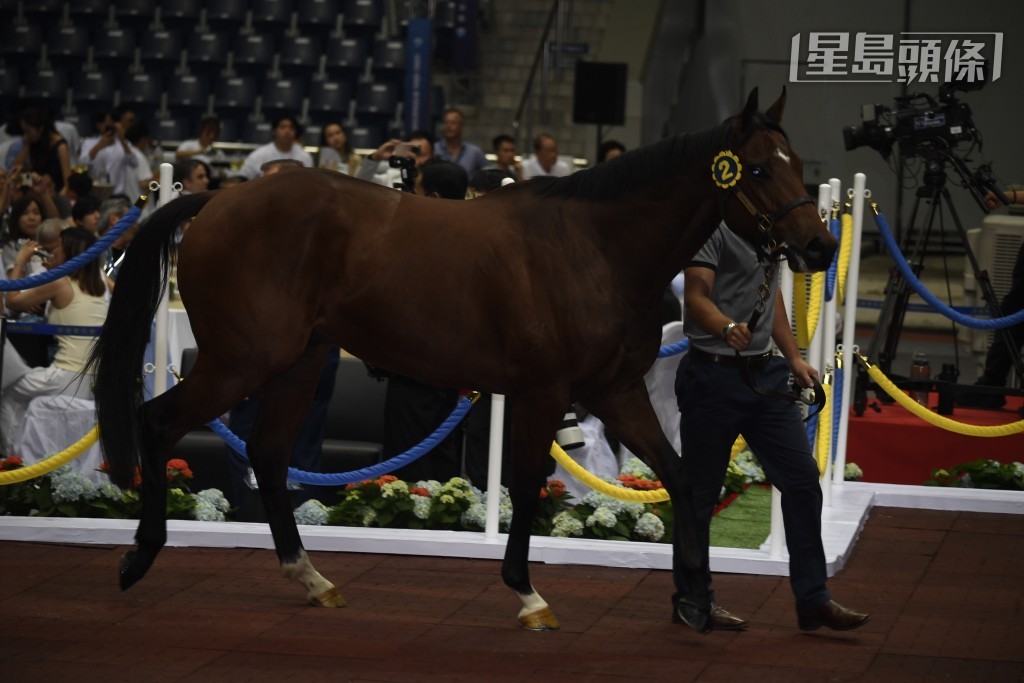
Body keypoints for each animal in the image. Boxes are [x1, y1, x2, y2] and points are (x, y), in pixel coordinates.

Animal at [88, 88, 836, 630]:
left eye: (801, 166)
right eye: (759, 168)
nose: (820, 246)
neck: (594, 247)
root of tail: (219, 198)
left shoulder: (617, 391)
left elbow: (681, 480)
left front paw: (696, 603)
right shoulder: (542, 392)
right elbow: (527, 487)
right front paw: (529, 596)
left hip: (298, 363)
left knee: (270, 457)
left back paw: (312, 579)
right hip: (239, 361)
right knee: (159, 422)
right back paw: (137, 558)